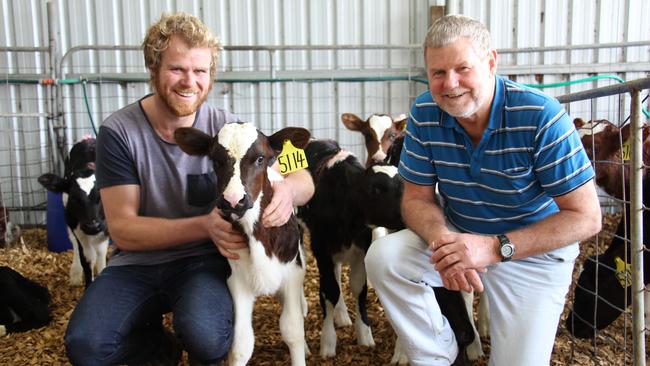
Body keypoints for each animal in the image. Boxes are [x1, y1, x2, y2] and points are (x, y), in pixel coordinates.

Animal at [38, 136, 108, 288]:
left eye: (101, 195)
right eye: (74, 198)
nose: (92, 226)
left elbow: (101, 255)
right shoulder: (77, 226)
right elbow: (88, 258)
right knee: (74, 244)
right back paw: (75, 274)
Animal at [175, 123, 312, 366]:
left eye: (260, 158)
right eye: (215, 160)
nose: (233, 200)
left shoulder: (291, 274)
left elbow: (293, 331)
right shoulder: (237, 280)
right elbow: (241, 345)